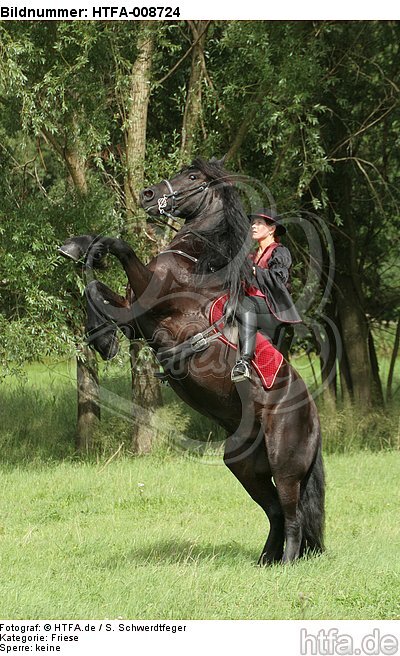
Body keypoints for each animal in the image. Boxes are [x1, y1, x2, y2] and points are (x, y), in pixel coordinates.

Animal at [59, 157, 325, 564]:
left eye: (193, 176)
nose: (147, 194)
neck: (193, 262)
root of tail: (312, 416)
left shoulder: (150, 300)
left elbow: (120, 246)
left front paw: (85, 249)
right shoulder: (134, 317)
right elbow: (94, 288)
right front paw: (102, 336)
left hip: (285, 462)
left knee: (292, 514)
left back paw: (287, 563)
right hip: (243, 462)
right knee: (275, 512)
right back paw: (265, 561)